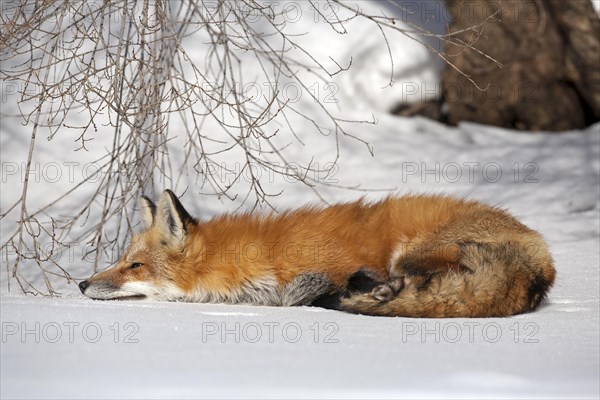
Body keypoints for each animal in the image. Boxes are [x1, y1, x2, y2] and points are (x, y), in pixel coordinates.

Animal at [77, 191, 556, 318]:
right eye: (120, 259)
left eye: (134, 265)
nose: (81, 283)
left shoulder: (330, 264)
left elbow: (308, 286)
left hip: (411, 255)